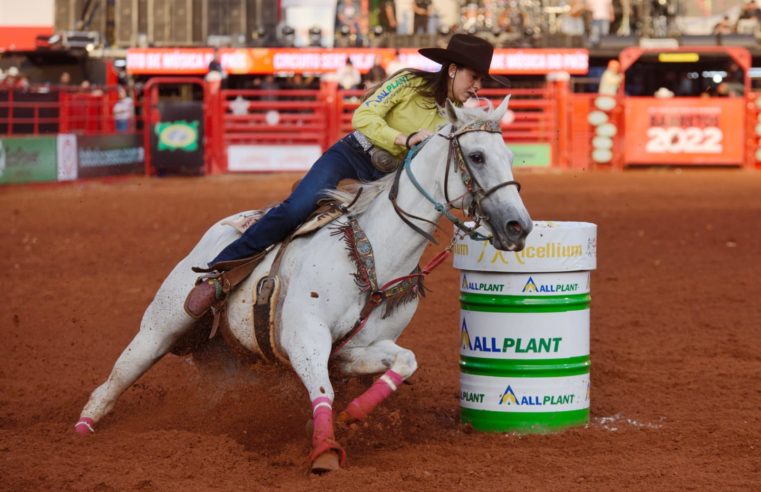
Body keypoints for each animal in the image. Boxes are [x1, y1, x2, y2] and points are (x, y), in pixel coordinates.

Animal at [75, 97, 528, 472]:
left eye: (510, 156)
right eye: (476, 155)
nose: (518, 226)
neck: (372, 254)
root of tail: (221, 226)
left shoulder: (353, 351)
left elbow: (404, 362)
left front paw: (353, 415)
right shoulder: (305, 337)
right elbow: (322, 390)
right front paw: (325, 451)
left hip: (228, 358)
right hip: (160, 327)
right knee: (116, 378)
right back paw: (83, 428)